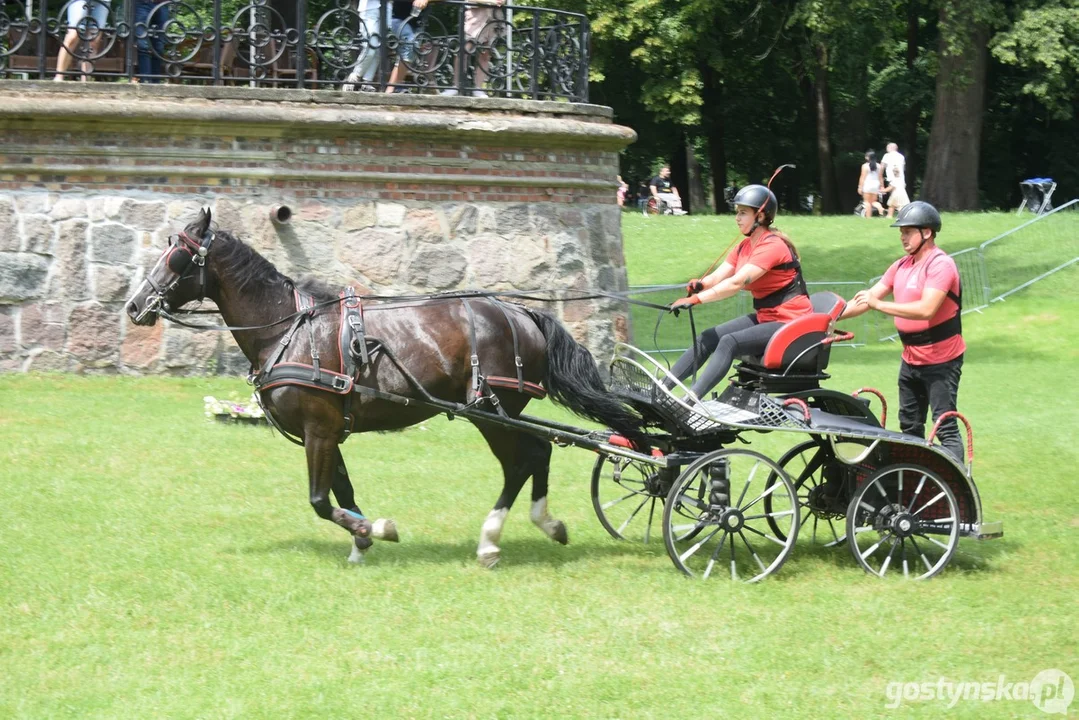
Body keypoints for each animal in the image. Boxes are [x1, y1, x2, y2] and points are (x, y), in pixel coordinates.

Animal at [126, 208, 647, 569]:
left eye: (176, 254)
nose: (134, 305)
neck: (287, 330)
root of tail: (521, 312)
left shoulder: (318, 430)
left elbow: (320, 501)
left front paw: (376, 528)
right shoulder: (329, 429)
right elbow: (343, 488)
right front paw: (361, 540)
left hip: (489, 411)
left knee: (523, 461)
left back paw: (490, 541)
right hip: (502, 412)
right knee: (539, 452)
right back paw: (546, 524)